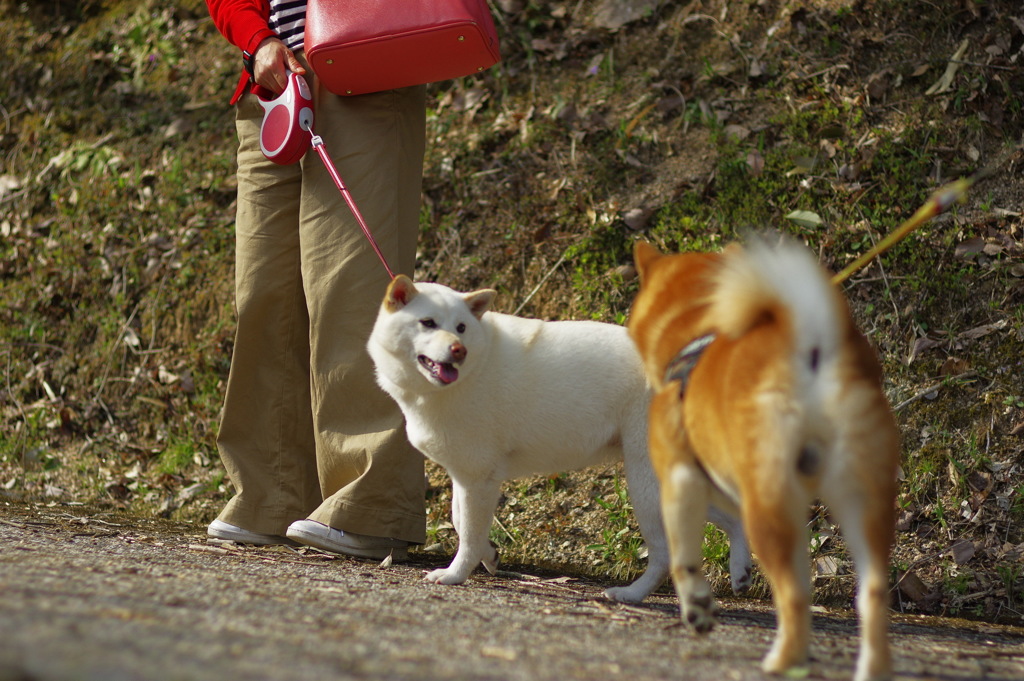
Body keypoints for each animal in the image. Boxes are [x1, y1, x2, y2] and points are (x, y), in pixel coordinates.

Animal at [368, 274, 753, 602]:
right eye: (428, 323)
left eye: (461, 328)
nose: (458, 349)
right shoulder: (466, 478)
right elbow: (462, 524)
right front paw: (489, 555)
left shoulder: (478, 479)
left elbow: (467, 533)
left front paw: (454, 575)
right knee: (735, 517)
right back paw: (741, 572)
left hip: (646, 484)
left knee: (663, 556)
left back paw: (630, 595)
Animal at [626, 235, 901, 679]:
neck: (698, 330)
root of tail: (809, 347)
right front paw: (738, 572)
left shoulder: (680, 477)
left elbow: (683, 559)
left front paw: (697, 606)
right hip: (862, 501)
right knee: (870, 593)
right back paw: (869, 668)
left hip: (770, 505)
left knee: (792, 594)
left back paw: (783, 659)